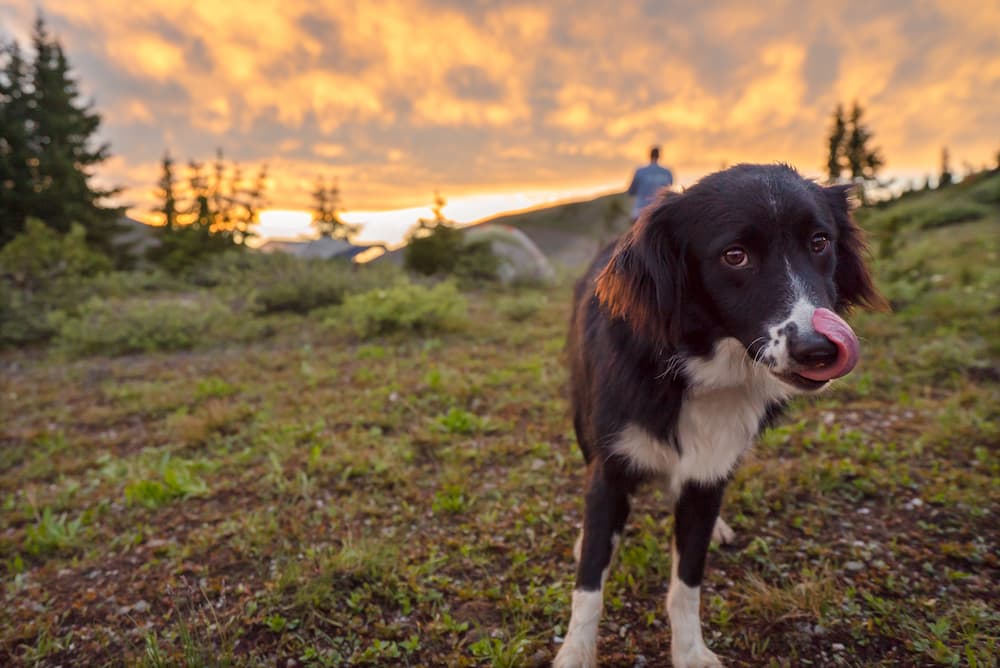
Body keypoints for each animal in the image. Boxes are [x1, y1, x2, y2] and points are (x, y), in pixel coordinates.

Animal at [556, 163, 884, 668]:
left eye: (819, 242)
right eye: (735, 256)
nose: (820, 350)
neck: (695, 369)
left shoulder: (709, 466)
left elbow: (687, 581)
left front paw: (690, 651)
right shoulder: (612, 464)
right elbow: (590, 584)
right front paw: (575, 652)